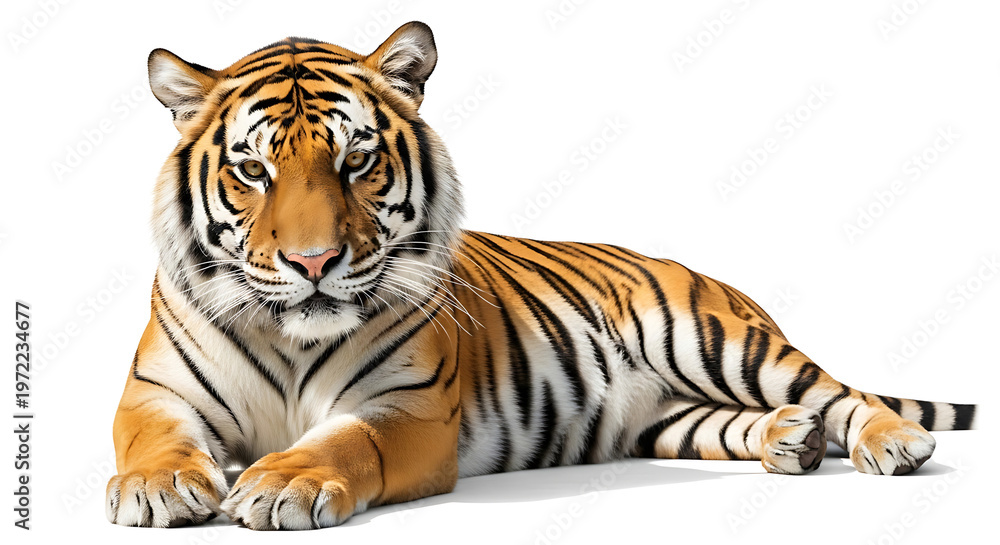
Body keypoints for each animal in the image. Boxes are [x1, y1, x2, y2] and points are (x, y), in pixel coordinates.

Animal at [106, 21, 977, 530]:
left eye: (356, 161)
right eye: (252, 169)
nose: (313, 262)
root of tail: (711, 277)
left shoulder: (407, 407)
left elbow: (346, 440)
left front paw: (282, 481)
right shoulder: (156, 392)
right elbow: (151, 438)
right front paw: (158, 486)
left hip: (719, 341)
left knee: (838, 390)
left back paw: (894, 442)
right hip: (663, 415)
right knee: (739, 421)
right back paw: (793, 440)